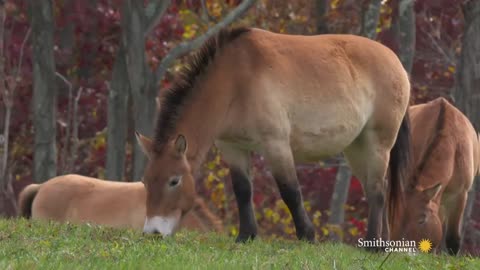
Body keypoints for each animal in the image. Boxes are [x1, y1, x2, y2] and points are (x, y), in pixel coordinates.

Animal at [137, 26, 410, 243]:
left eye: (174, 181)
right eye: (146, 181)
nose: (153, 232)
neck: (236, 81)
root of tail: (396, 62)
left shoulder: (276, 145)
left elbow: (290, 191)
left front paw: (307, 235)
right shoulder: (232, 147)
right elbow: (242, 190)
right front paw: (245, 235)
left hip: (378, 144)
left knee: (377, 190)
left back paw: (373, 244)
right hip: (356, 147)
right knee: (376, 189)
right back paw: (382, 243)